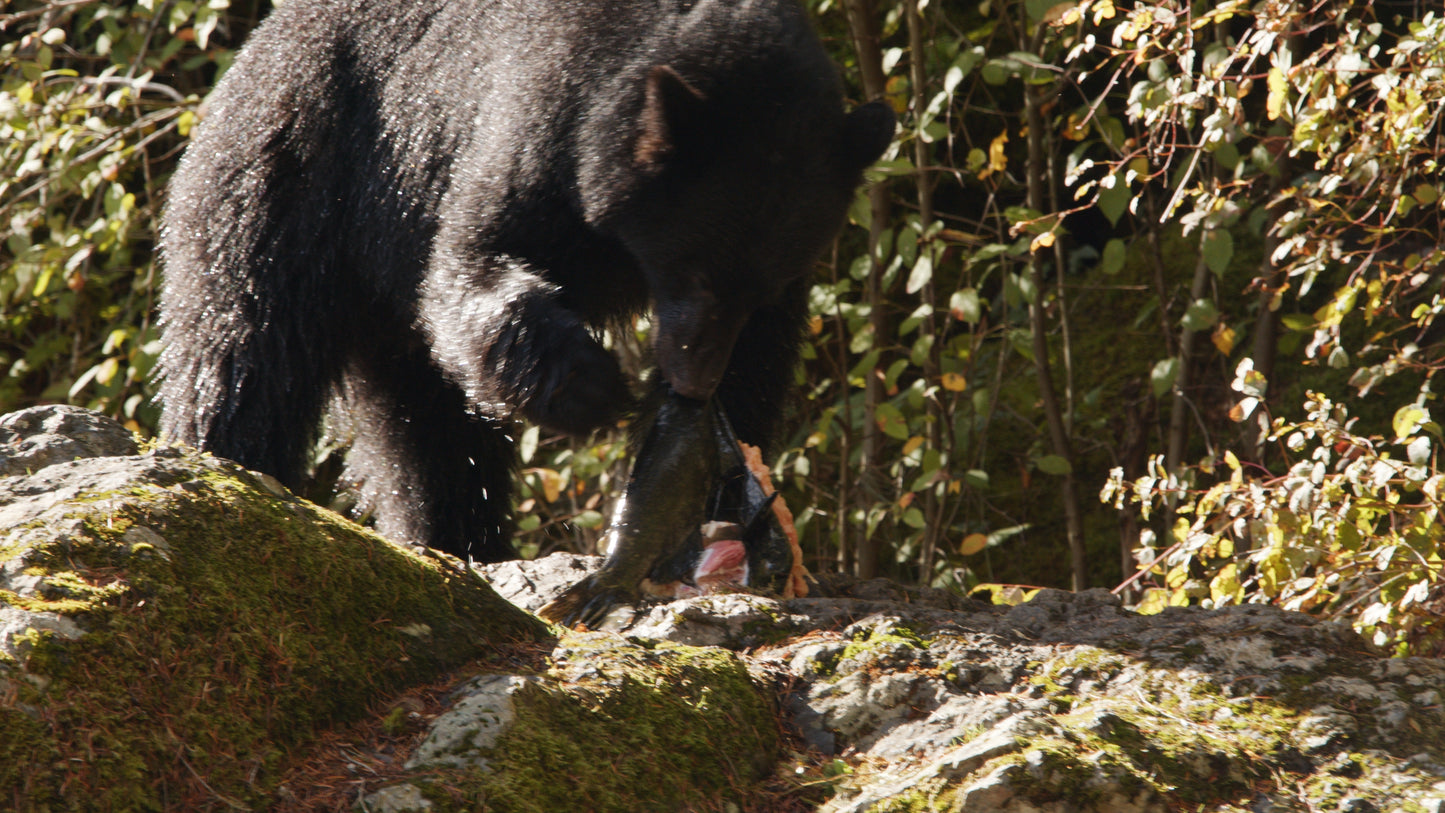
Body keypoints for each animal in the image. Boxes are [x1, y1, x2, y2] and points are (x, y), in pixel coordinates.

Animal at [158, 0, 890, 563]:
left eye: (761, 286)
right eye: (697, 272)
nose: (692, 381)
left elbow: (761, 355)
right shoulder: (533, 123)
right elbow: (472, 263)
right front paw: (589, 387)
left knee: (430, 434)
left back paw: (459, 539)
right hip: (289, 186)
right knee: (241, 355)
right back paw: (224, 462)